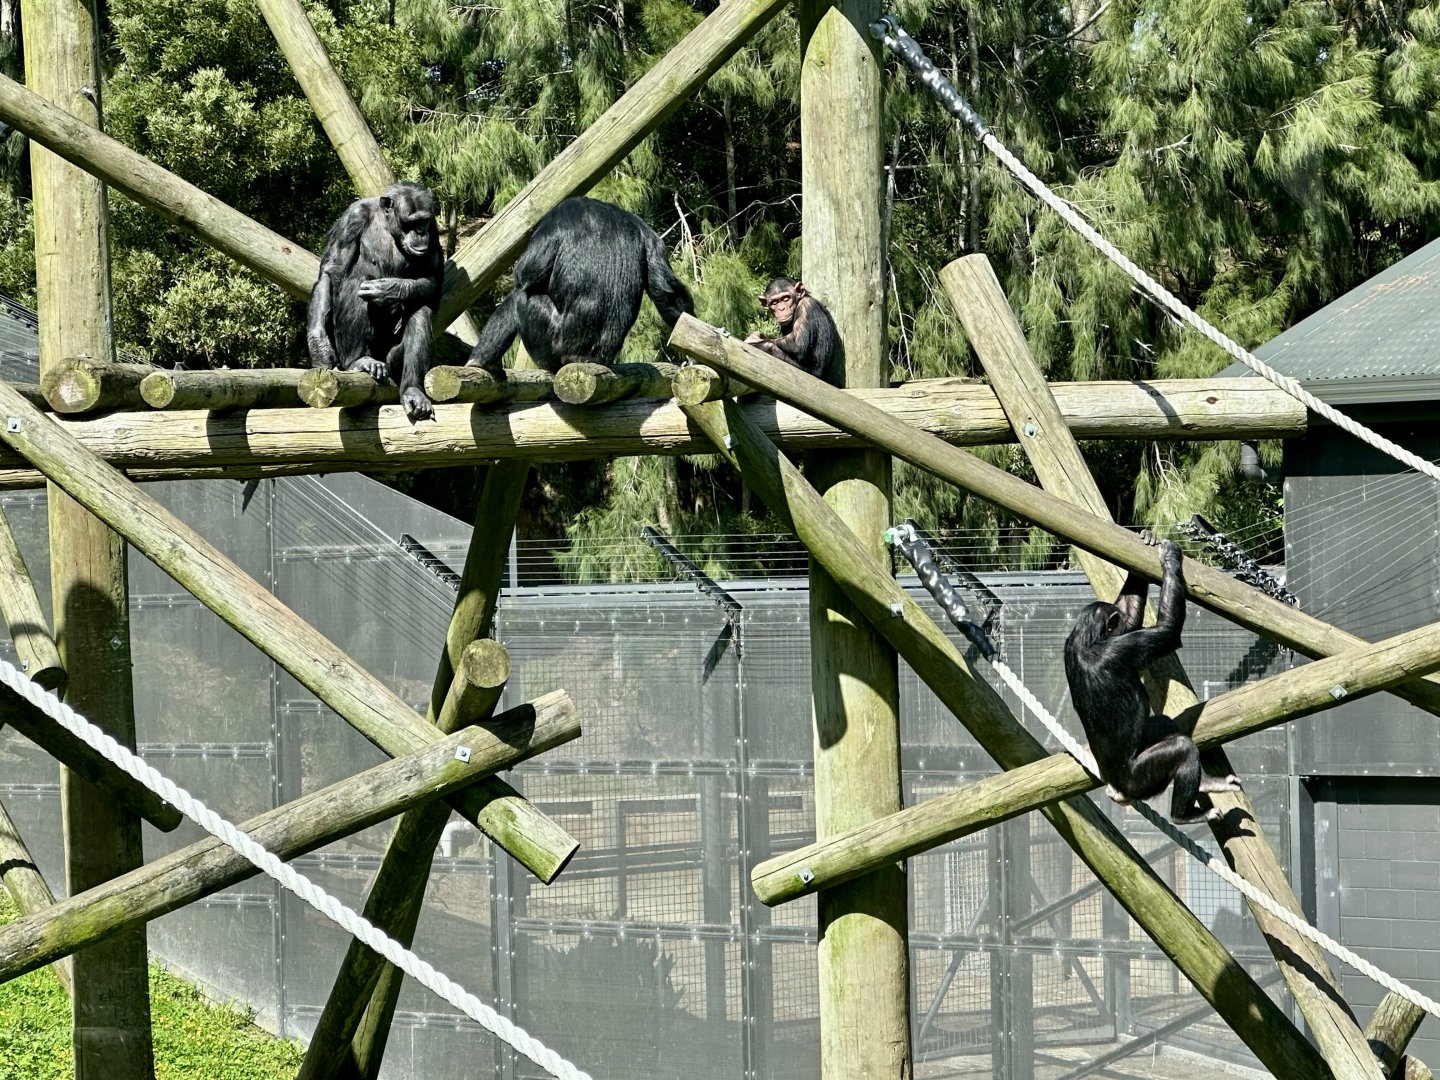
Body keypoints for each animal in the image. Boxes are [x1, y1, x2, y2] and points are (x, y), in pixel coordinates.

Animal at [306, 181, 443, 421]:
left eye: (424, 221)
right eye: (412, 222)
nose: (420, 232)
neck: (389, 225)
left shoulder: (434, 229)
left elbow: (432, 278)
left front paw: (389, 289)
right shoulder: (352, 219)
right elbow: (332, 271)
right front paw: (319, 347)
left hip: (392, 359)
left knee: (420, 309)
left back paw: (412, 391)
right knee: (356, 284)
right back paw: (360, 361)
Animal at [466, 197, 693, 373]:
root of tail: (583, 359)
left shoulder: (556, 217)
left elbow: (527, 273)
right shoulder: (647, 232)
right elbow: (667, 291)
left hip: (551, 347)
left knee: (520, 296)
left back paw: (480, 360)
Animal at [1063, 533, 1242, 824]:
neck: (1087, 638)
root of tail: (1119, 786)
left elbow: (1131, 615)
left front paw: (1147, 541)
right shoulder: (1126, 647)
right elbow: (1167, 632)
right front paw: (1170, 559)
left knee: (1162, 724)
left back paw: (1207, 783)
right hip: (1141, 778)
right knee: (1181, 748)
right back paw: (1184, 816)